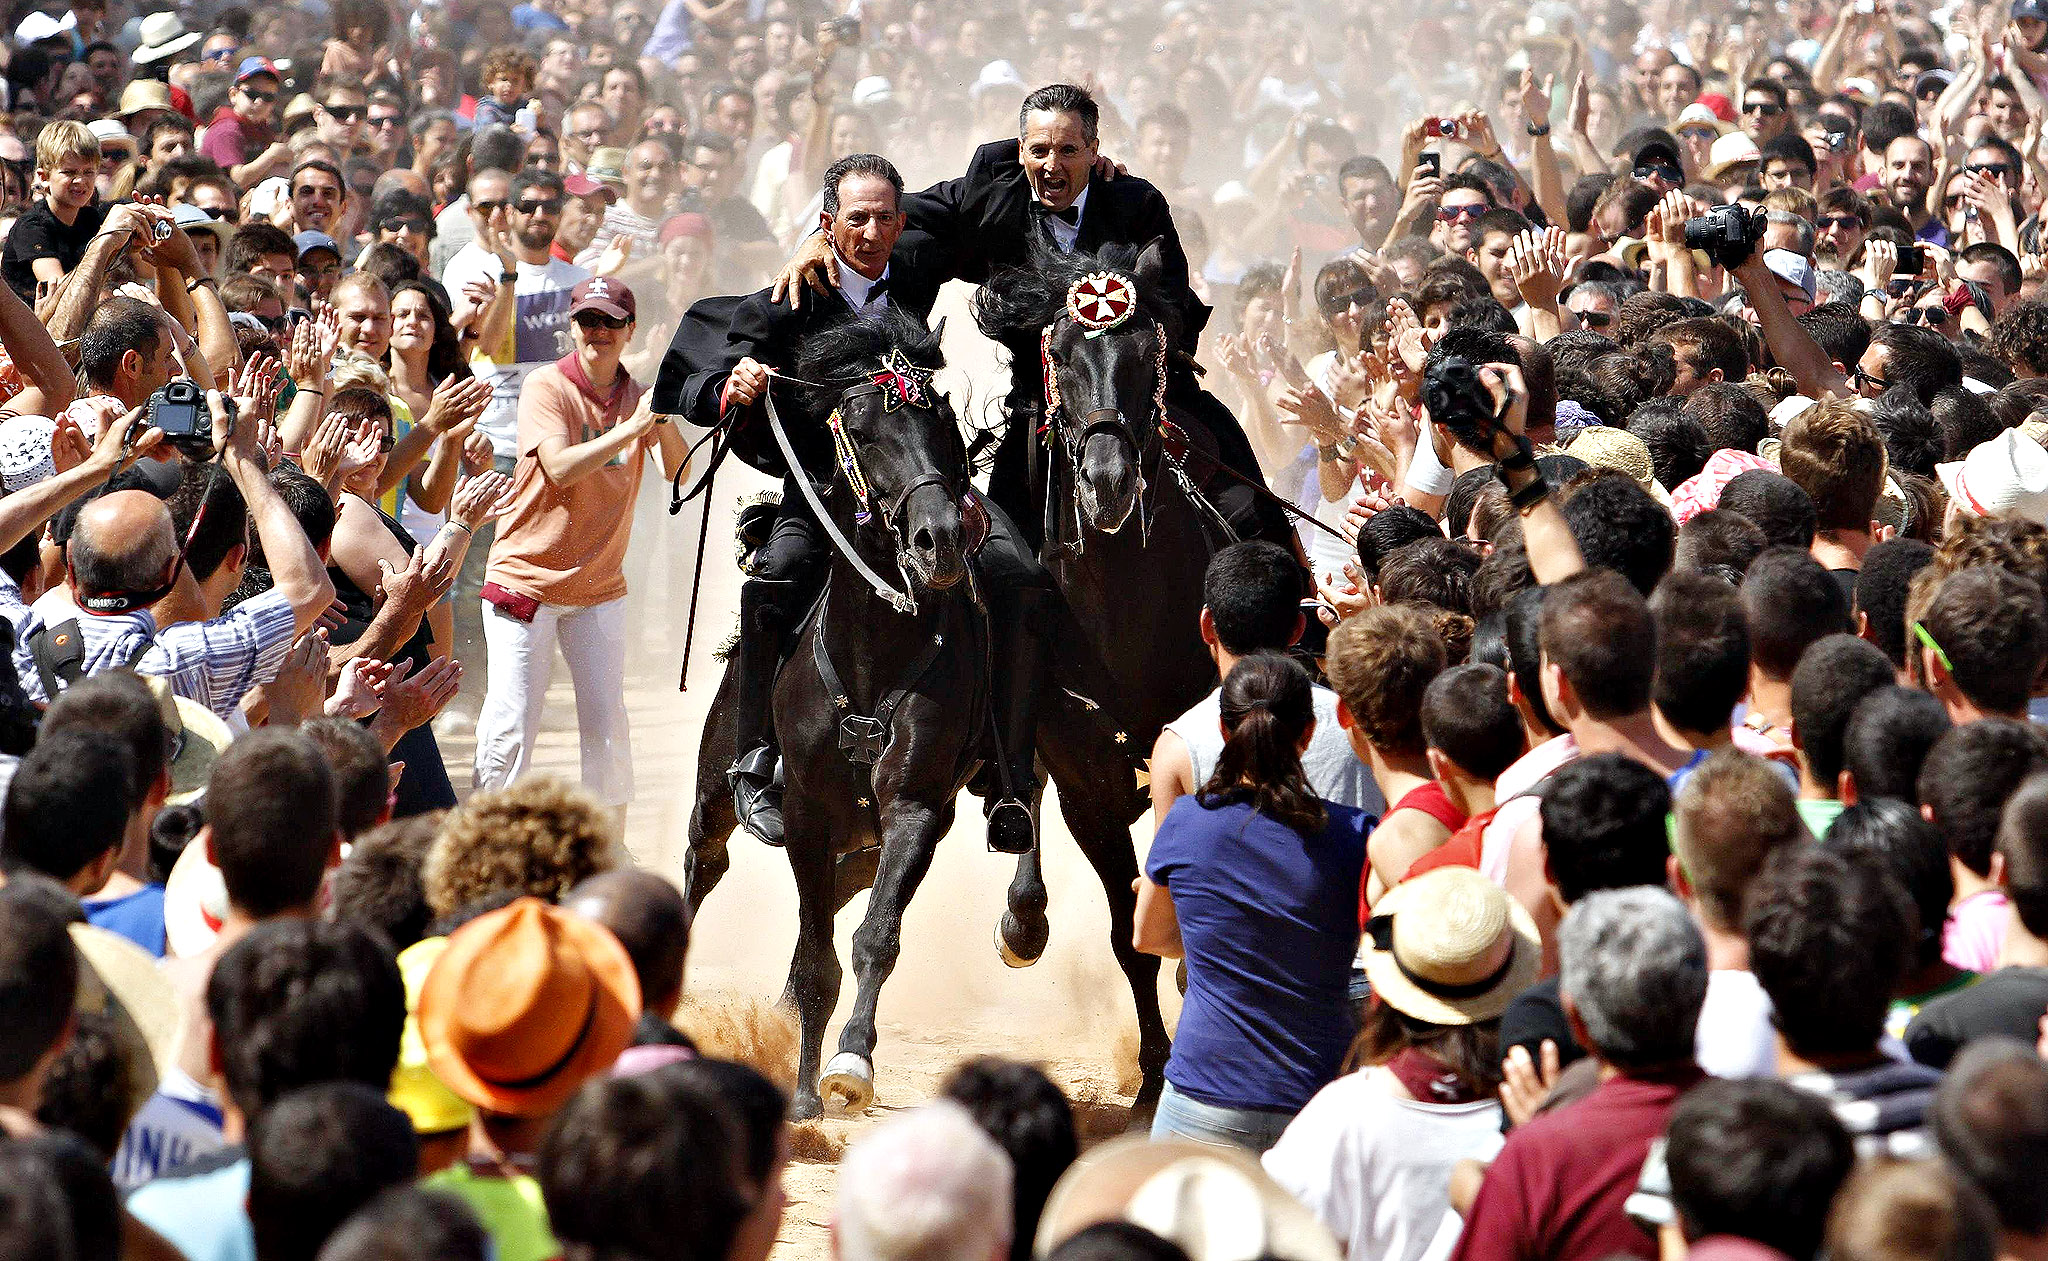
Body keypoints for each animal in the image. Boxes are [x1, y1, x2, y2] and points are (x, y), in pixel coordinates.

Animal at [684, 311, 995, 1121]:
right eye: (862, 427)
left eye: (942, 420)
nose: (939, 538)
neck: (876, 651)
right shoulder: (807, 812)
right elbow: (819, 960)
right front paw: (802, 1094)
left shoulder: (913, 808)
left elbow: (872, 937)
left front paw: (851, 1061)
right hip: (716, 793)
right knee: (705, 861)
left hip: (862, 843)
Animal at [966, 241, 1220, 1121]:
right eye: (1061, 355)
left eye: (1151, 356)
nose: (1107, 483)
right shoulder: (1090, 790)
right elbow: (1124, 932)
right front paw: (1153, 1074)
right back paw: (1022, 920)